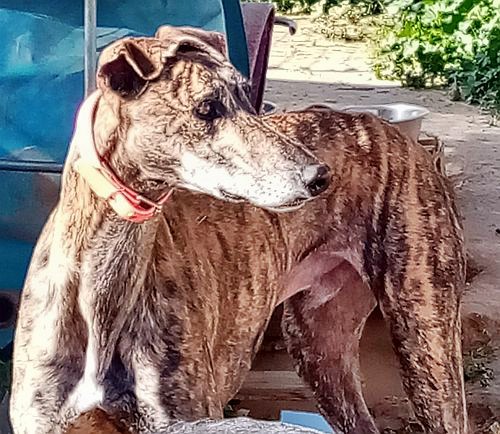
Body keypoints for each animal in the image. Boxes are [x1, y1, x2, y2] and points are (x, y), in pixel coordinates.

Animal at [10, 26, 467, 434]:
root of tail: (394, 134)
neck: (101, 290)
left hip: (426, 339)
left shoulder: (190, 419)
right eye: (206, 108)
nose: (319, 177)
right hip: (320, 346)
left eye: (248, 98)